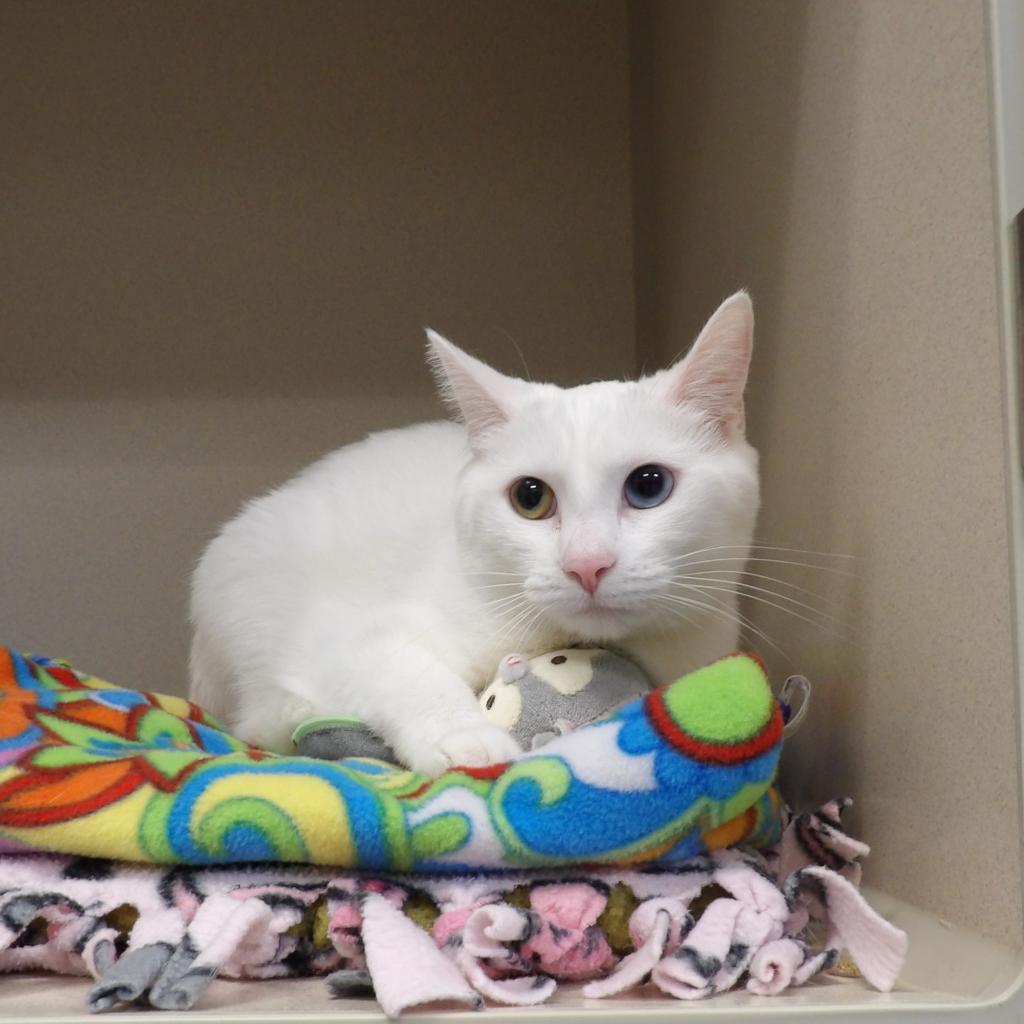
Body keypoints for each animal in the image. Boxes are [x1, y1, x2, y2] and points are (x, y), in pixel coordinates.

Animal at [188, 292, 757, 770]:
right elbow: (402, 671)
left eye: (648, 485)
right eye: (530, 497)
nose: (587, 564)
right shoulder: (336, 643)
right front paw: (465, 739)